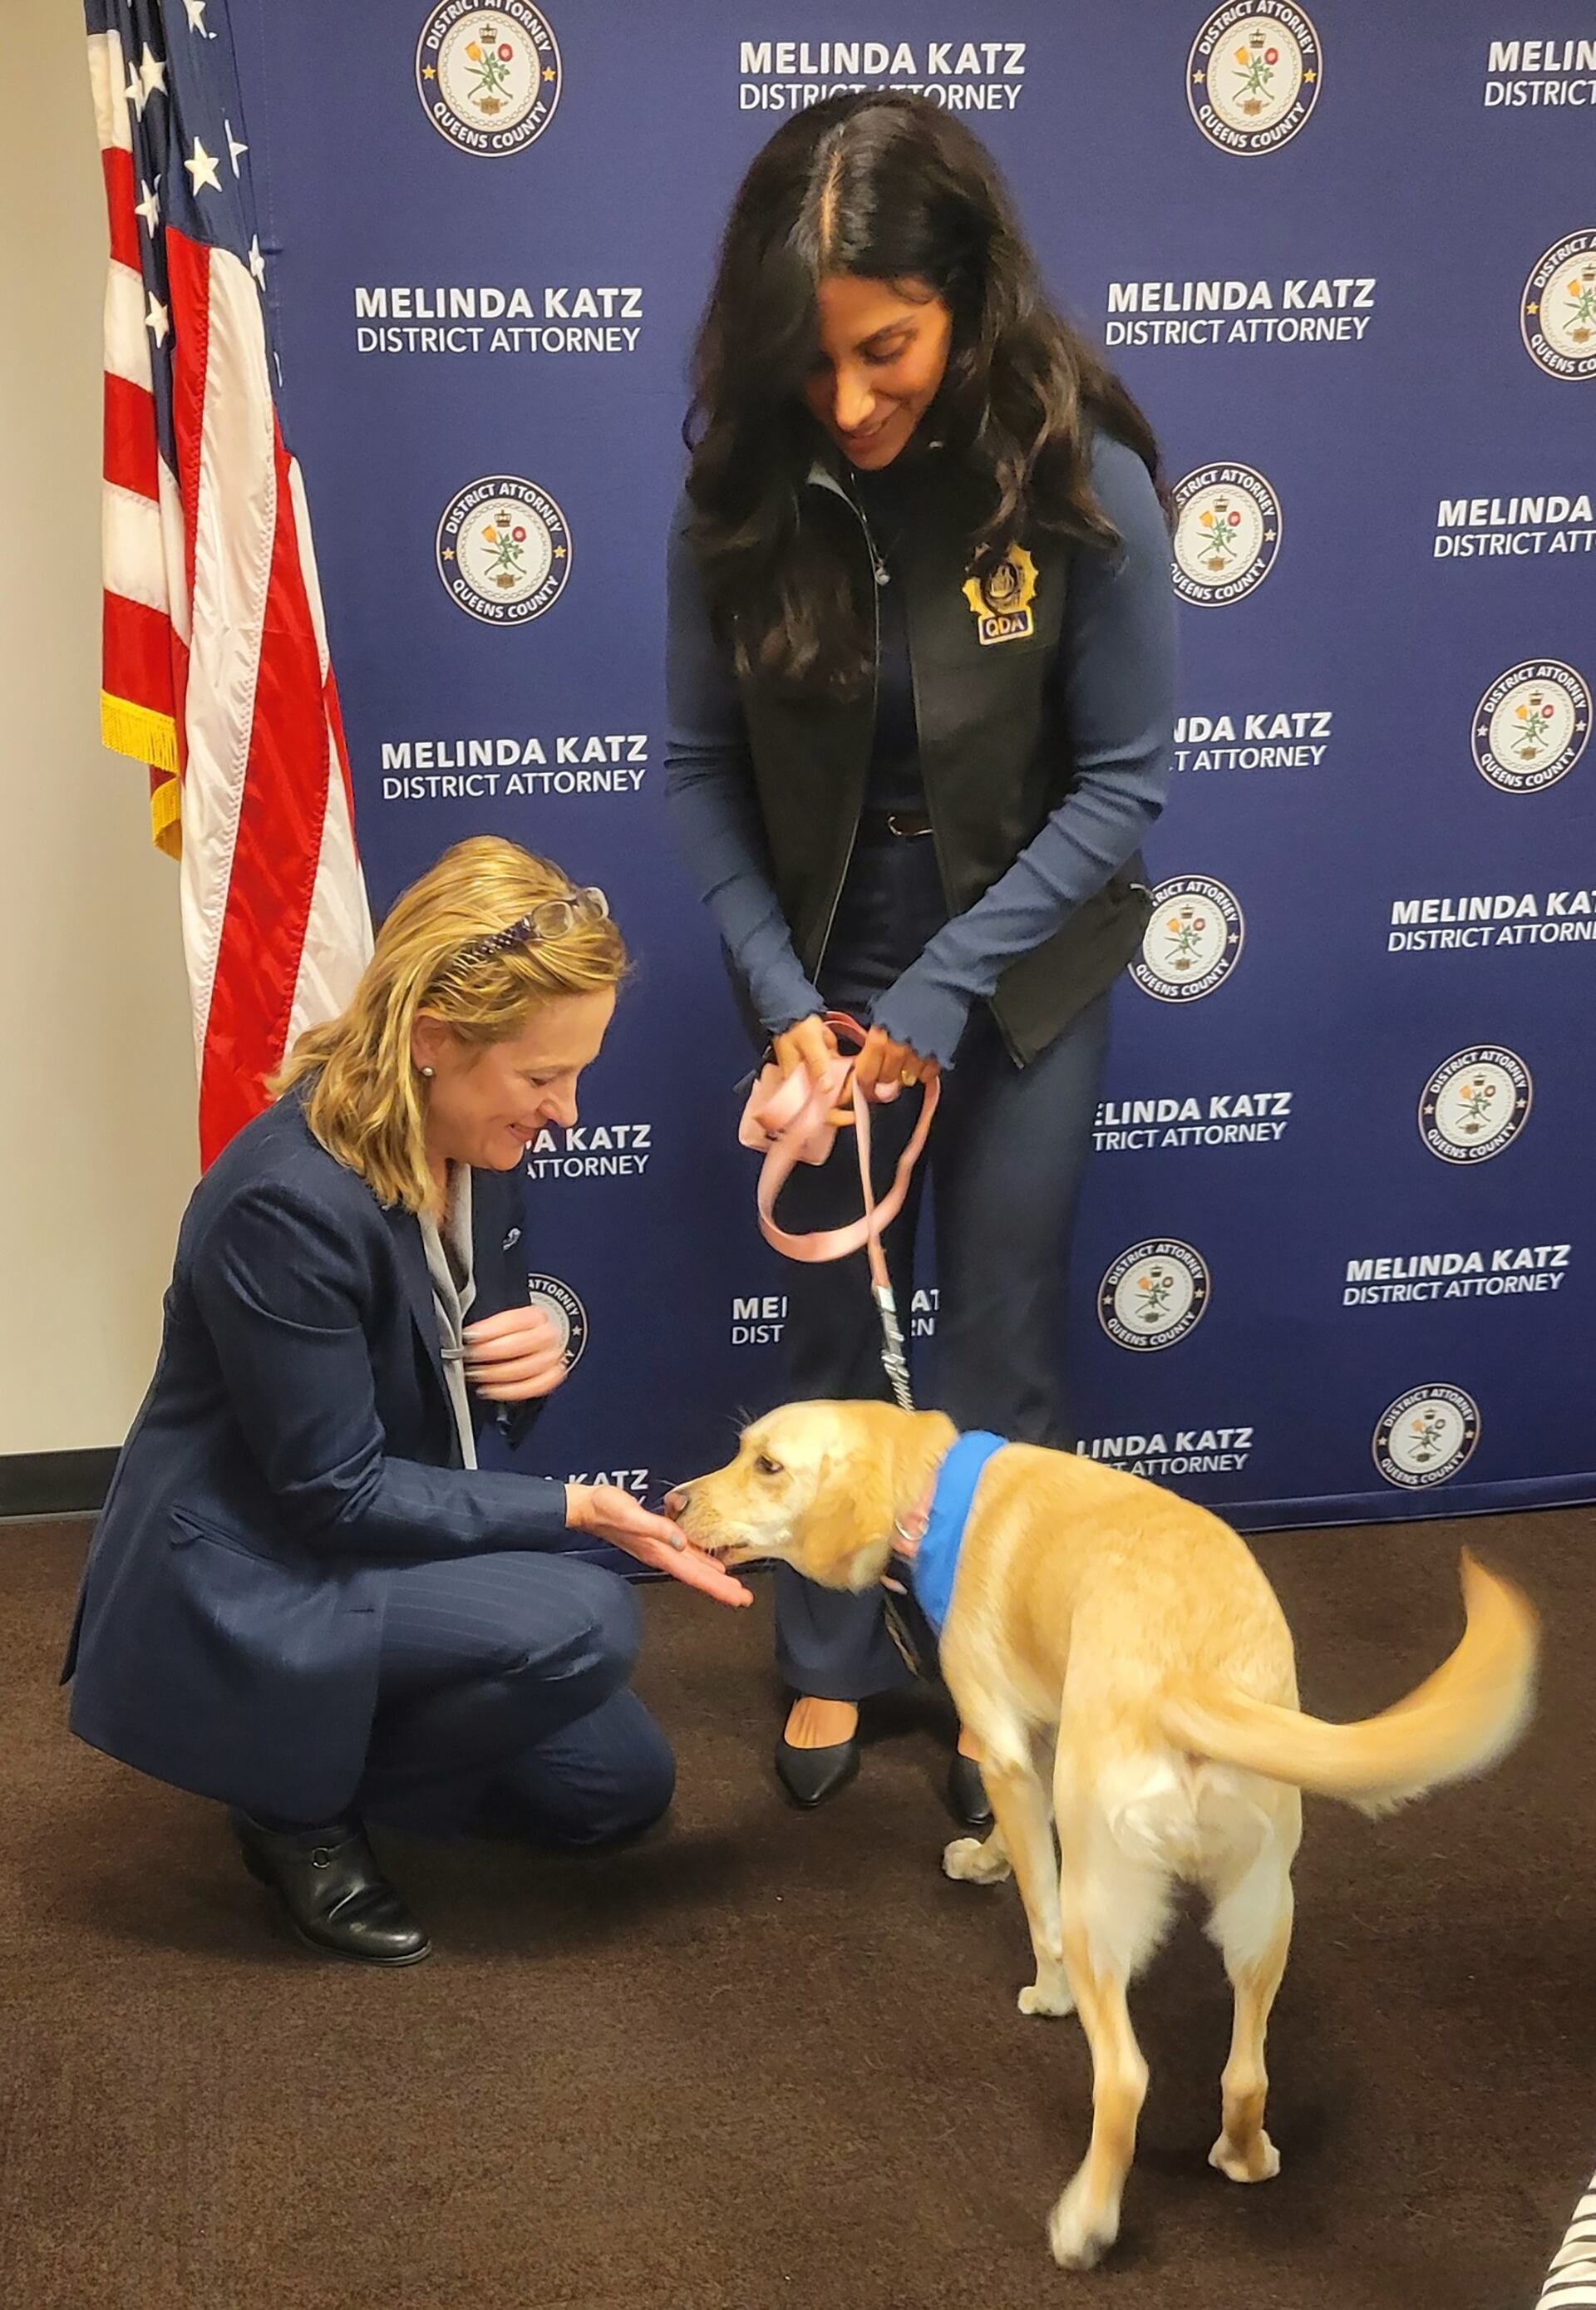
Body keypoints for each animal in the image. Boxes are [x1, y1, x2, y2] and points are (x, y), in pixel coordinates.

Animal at [669, 1395, 1543, 2263]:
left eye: (769, 1465)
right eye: (743, 1451)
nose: (673, 1501)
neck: (936, 1484)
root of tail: (1190, 1676)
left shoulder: (1006, 1748)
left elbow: (1039, 1909)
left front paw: (1038, 1977)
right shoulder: (1040, 1736)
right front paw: (986, 1857)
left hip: (1107, 1901)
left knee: (1122, 2074)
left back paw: (1085, 2221)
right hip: (1265, 1902)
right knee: (1246, 2073)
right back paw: (1245, 2154)